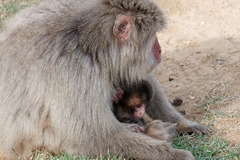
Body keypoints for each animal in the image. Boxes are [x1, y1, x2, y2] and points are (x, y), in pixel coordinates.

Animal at [0, 0, 208, 159]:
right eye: (152, 36)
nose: (159, 50)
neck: (90, 45)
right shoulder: (75, 72)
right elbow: (91, 137)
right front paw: (175, 154)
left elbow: (140, 77)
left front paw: (182, 123)